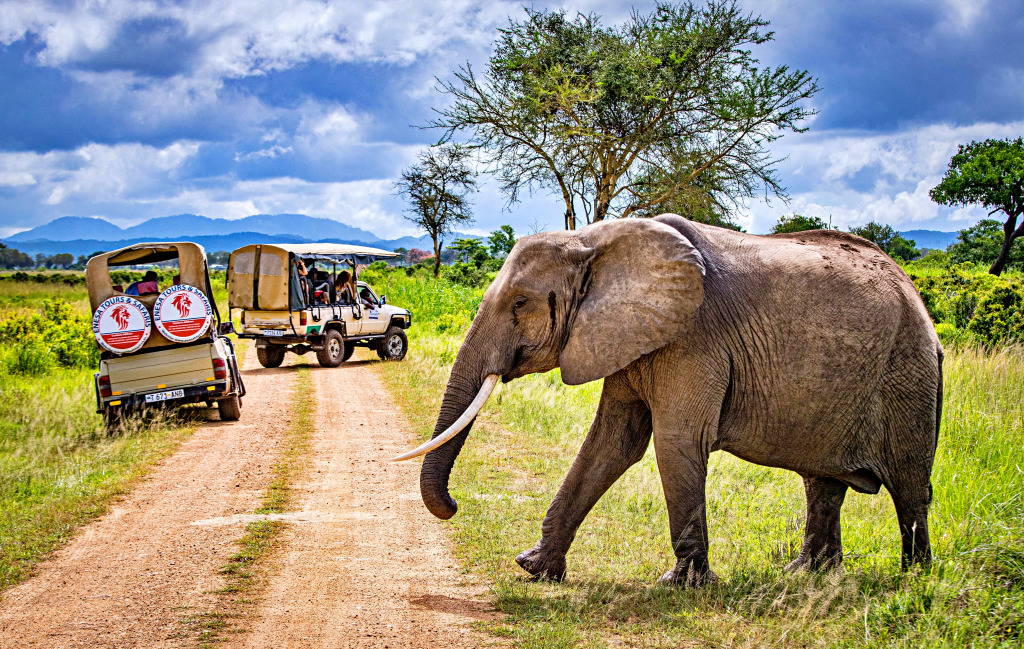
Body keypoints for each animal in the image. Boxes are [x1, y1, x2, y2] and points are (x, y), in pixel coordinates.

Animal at [393, 214, 942, 585]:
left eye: (520, 303)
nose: (455, 505)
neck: (593, 241)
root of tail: (918, 300)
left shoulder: (693, 338)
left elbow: (676, 442)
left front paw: (682, 586)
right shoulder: (630, 335)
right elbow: (611, 443)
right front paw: (535, 569)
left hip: (909, 378)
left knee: (910, 489)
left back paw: (914, 582)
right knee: (822, 483)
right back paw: (806, 577)